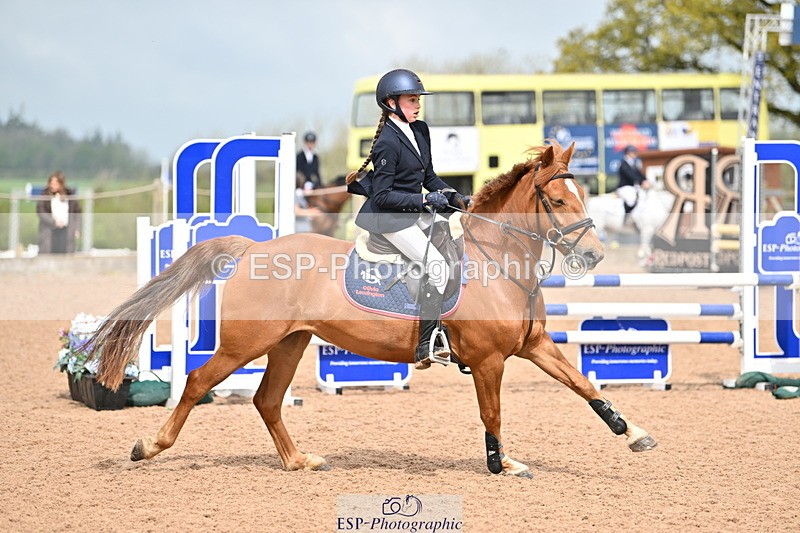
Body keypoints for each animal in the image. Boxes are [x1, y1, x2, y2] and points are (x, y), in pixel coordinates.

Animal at [90, 140, 656, 478]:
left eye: (582, 195)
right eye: (557, 201)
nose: (593, 256)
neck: (497, 260)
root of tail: (254, 248)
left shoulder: (534, 345)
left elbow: (586, 385)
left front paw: (635, 434)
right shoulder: (490, 360)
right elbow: (492, 411)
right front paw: (503, 465)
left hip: (291, 342)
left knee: (268, 400)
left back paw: (298, 461)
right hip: (246, 342)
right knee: (198, 382)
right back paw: (150, 446)